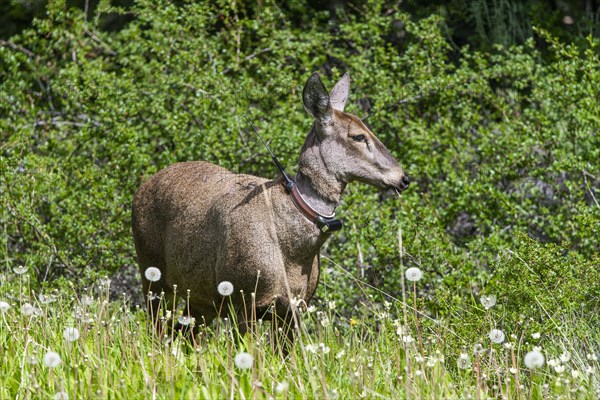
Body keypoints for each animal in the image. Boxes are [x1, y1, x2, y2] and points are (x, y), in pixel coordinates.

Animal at [132, 71, 410, 338]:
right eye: (358, 136)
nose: (403, 178)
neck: (295, 250)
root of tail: (141, 188)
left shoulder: (295, 307)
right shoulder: (243, 300)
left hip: (201, 299)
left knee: (182, 334)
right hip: (152, 274)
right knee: (157, 330)